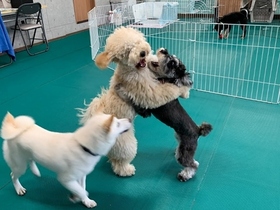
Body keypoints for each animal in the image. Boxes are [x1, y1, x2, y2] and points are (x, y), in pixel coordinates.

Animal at [0, 112, 132, 208]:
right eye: (118, 123)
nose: (130, 120)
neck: (83, 146)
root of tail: (13, 127)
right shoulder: (66, 179)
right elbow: (82, 190)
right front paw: (78, 197)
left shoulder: (81, 175)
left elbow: (82, 188)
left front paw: (85, 200)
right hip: (19, 165)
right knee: (13, 175)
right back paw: (19, 188)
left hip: (27, 156)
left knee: (31, 160)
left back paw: (35, 171)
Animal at [116, 48, 212, 181]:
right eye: (170, 55)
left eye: (172, 63)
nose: (164, 50)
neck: (162, 80)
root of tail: (198, 131)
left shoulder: (146, 111)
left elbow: (131, 98)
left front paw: (121, 89)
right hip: (179, 138)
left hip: (186, 150)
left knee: (193, 164)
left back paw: (185, 175)